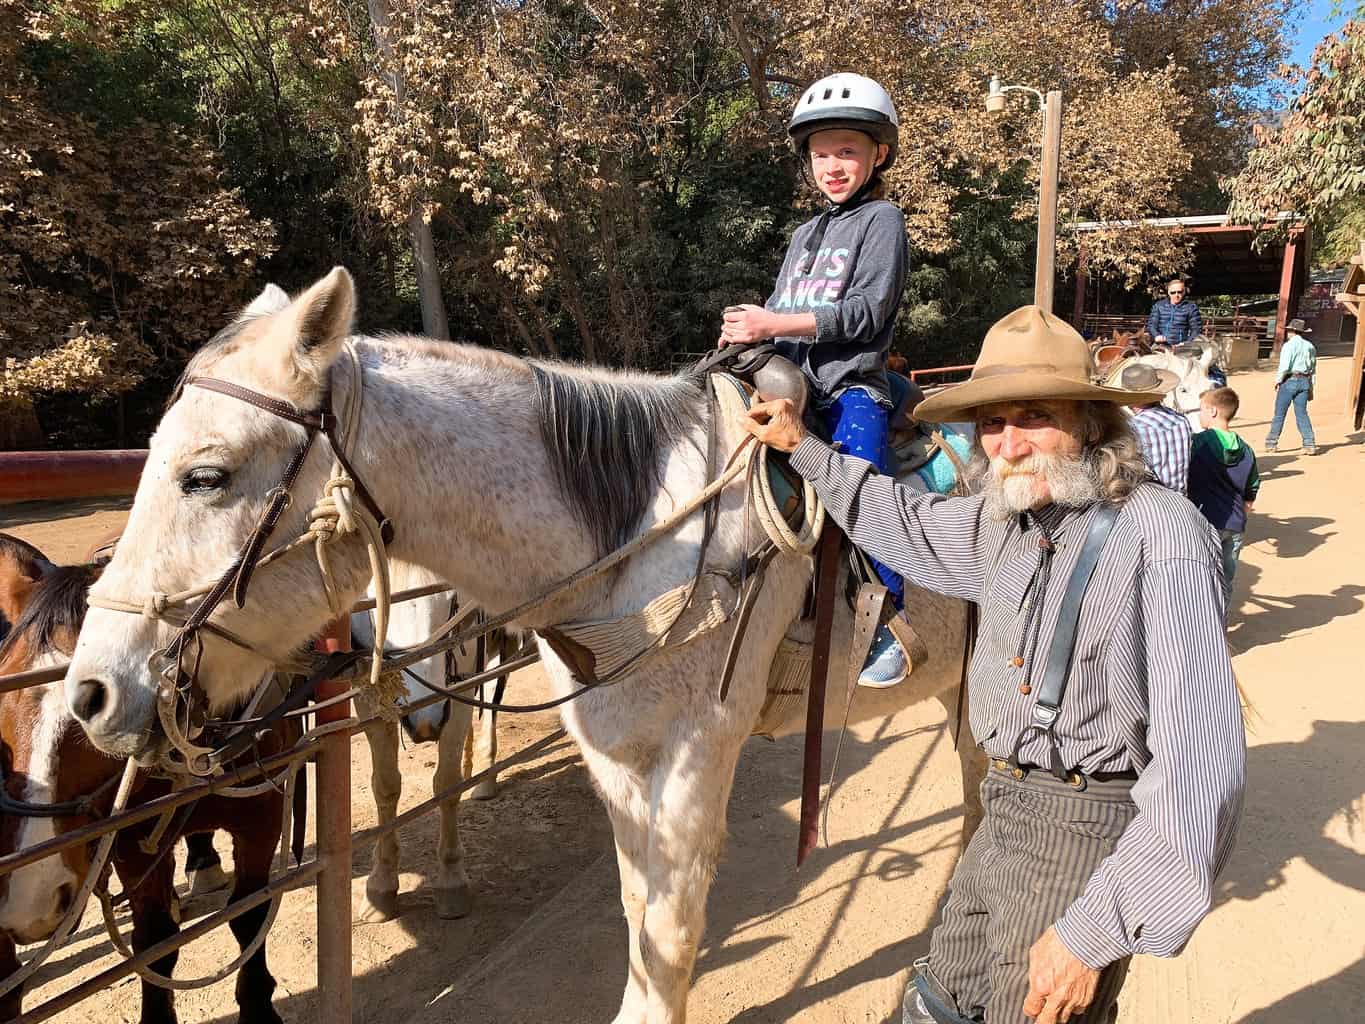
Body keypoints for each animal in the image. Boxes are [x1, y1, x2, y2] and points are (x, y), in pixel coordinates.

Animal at [0, 557, 293, 1021]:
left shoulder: (262, 820)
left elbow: (250, 914)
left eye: (89, 710)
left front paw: (258, 1008)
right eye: (4, 691)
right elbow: (154, 943)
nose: (34, 898)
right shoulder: (133, 842)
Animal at [66, 270, 982, 1024]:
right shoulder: (614, 752)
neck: (650, 534)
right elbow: (639, 907)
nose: (90, 694)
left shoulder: (699, 750)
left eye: (206, 476)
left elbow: (674, 918)